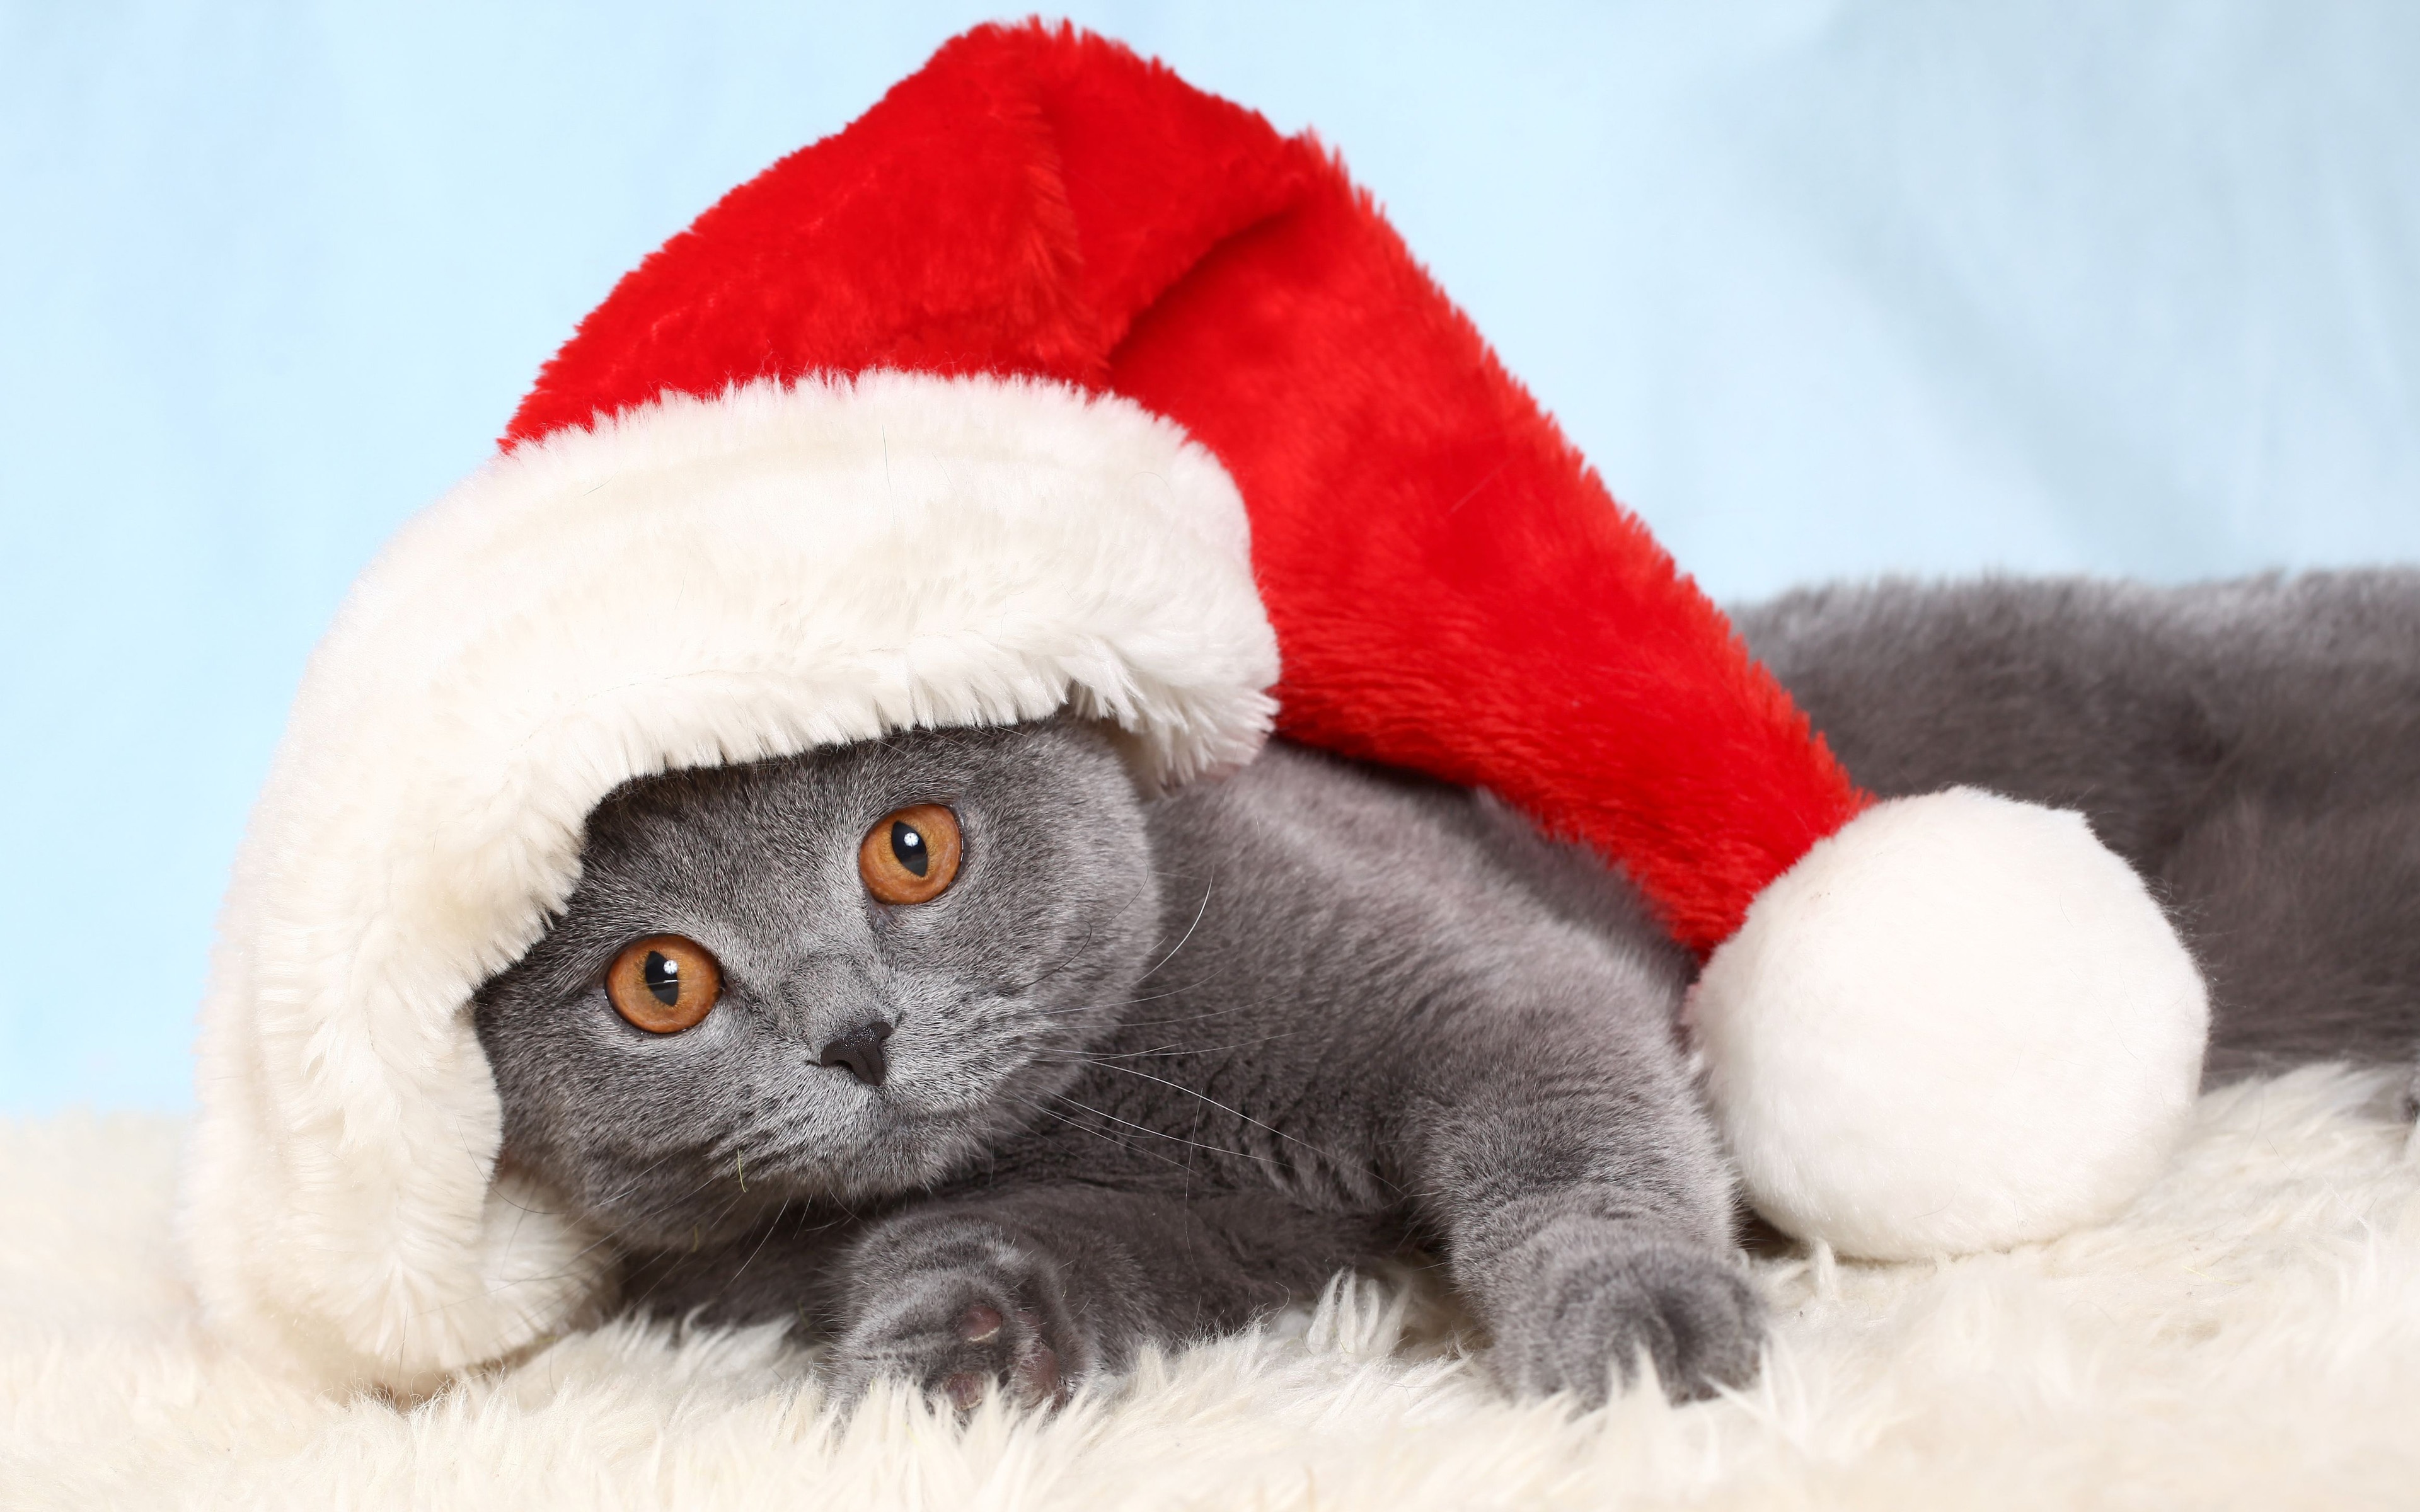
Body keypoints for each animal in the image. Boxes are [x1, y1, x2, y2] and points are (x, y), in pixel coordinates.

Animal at [471, 568, 2420, 1412]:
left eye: (910, 849)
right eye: (660, 982)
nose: (856, 1033)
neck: (1117, 1100)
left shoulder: (1485, 980)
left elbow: (1569, 1135)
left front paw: (1637, 1331)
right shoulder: (1226, 1233)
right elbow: (1044, 1250)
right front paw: (950, 1340)